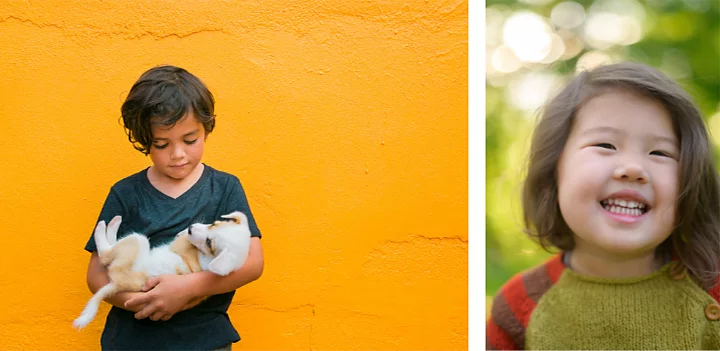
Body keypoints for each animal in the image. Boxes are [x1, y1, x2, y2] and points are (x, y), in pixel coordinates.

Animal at [74, 212, 253, 330]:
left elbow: (183, 241)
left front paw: (184, 235)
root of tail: (118, 284)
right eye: (213, 224)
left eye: (209, 243)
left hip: (136, 242)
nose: (190, 228)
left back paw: (106, 225)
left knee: (105, 254)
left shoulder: (183, 247)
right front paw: (184, 232)